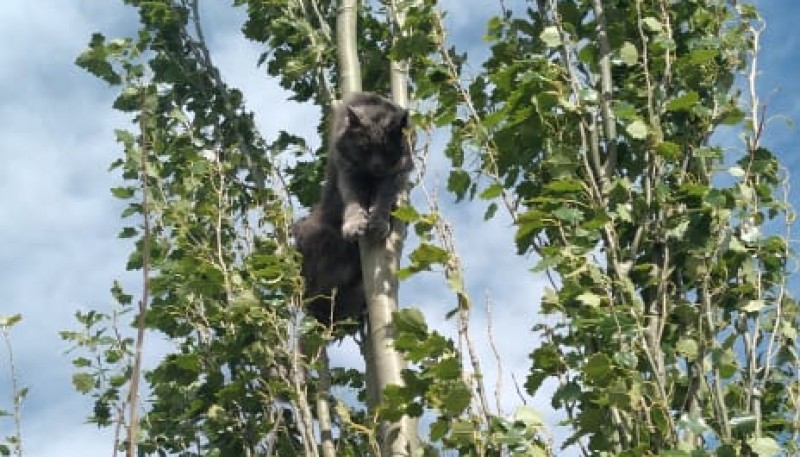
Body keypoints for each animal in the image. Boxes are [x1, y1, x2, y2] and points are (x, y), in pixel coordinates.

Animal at [292, 91, 410, 328]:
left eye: (386, 149)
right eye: (365, 148)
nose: (376, 165)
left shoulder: (393, 175)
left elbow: (383, 200)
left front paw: (378, 223)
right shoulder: (347, 171)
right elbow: (353, 202)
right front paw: (355, 225)